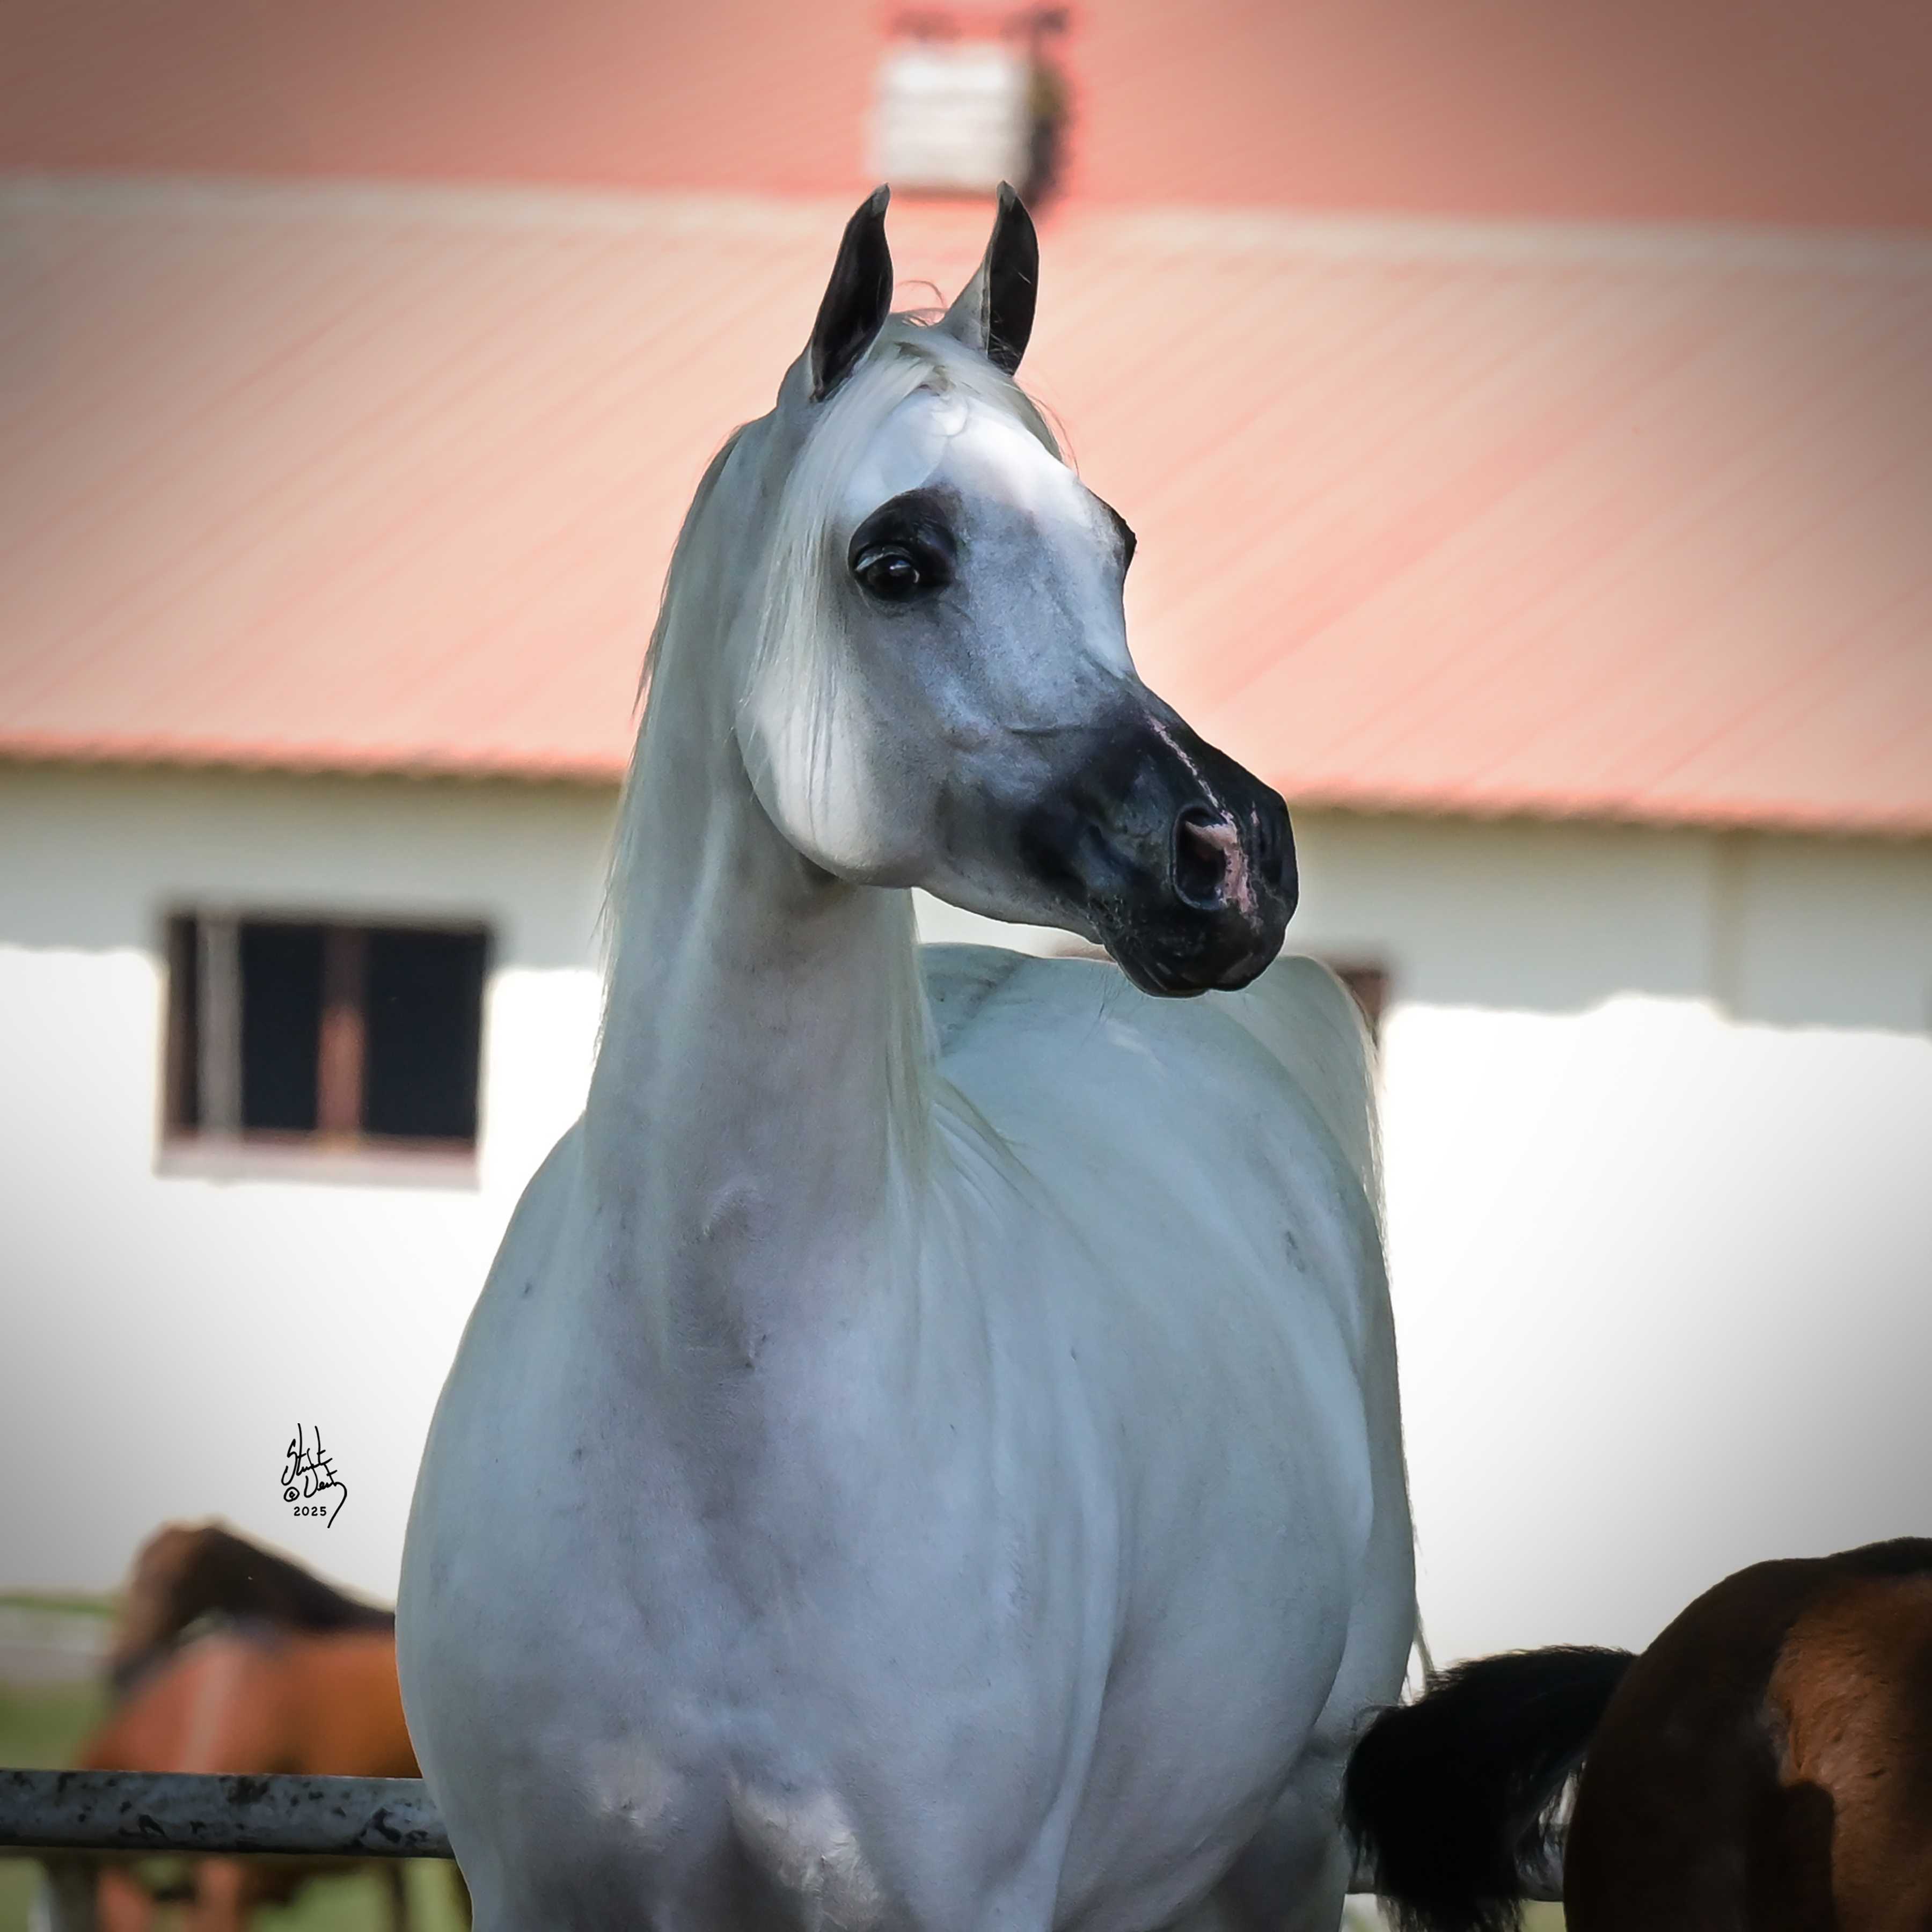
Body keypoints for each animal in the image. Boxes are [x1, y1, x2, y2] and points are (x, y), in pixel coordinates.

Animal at [398, 182, 1414, 1932]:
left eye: (1114, 544)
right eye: (897, 560)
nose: (1234, 859)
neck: (713, 1437)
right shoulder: (532, 1890)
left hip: (1281, 1848)